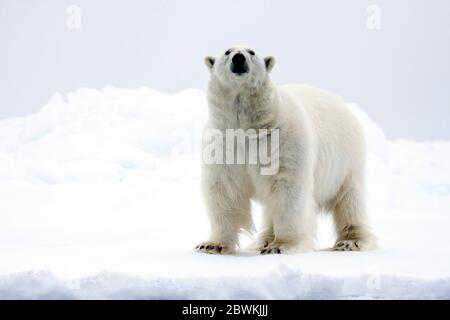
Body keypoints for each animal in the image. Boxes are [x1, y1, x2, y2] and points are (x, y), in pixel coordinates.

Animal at [195, 45, 374, 255]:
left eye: (251, 52)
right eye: (227, 51)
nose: (239, 58)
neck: (248, 127)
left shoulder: (282, 140)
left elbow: (287, 189)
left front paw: (281, 245)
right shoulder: (223, 143)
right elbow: (225, 190)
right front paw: (212, 245)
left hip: (346, 160)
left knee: (348, 199)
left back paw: (350, 242)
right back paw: (264, 240)